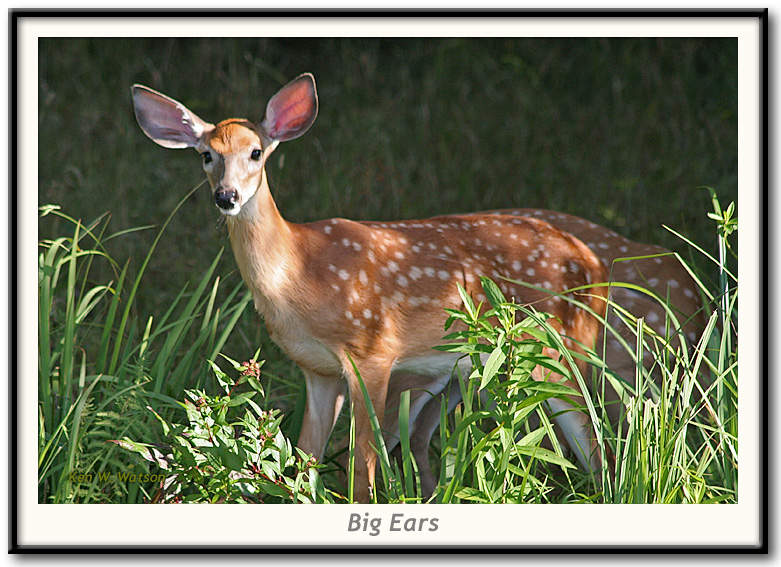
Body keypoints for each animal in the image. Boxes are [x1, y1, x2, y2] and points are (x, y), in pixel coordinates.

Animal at [131, 73, 704, 504]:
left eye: (255, 153)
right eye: (205, 155)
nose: (226, 196)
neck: (301, 276)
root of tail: (589, 260)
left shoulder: (372, 351)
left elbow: (360, 471)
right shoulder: (316, 370)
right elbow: (303, 461)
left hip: (562, 351)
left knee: (599, 444)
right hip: (462, 369)